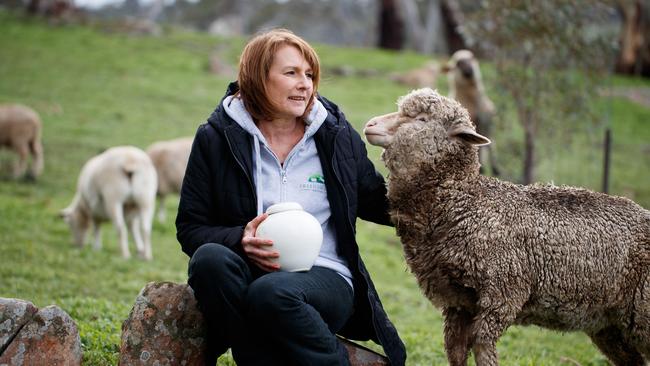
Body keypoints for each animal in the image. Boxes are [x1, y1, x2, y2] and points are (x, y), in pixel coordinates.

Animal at [362, 88, 648, 366]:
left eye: (421, 119)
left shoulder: (503, 294)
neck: (465, 205)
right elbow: (455, 351)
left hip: (642, 310)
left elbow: (483, 347)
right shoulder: (459, 302)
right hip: (608, 325)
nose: (369, 124)